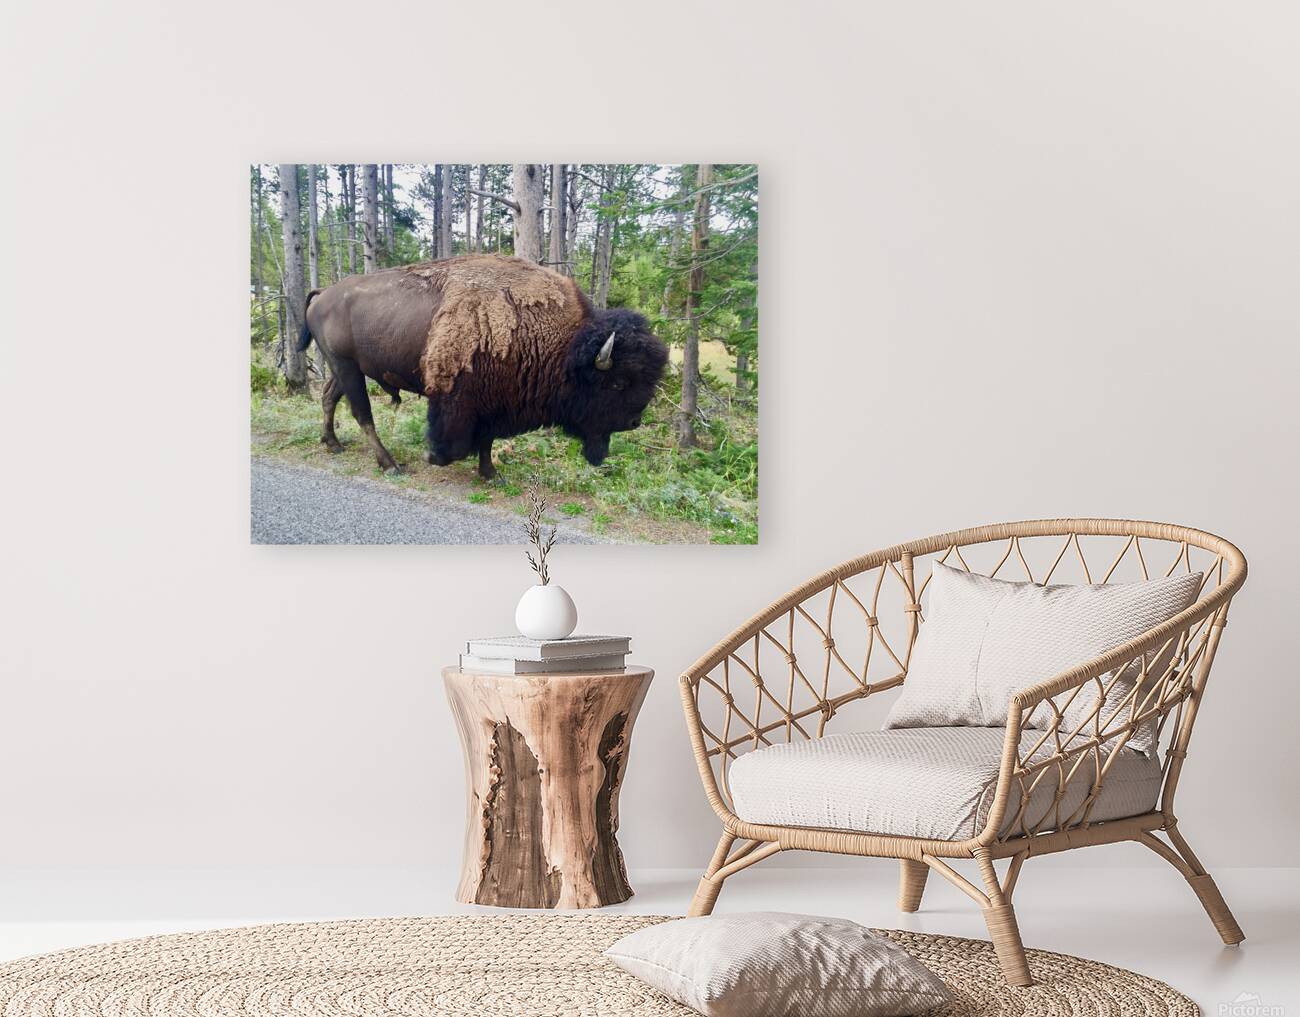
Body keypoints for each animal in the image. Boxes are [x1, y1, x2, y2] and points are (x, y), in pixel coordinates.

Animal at [299, 255, 668, 479]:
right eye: (618, 383)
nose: (634, 422)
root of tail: (323, 292)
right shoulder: (457, 398)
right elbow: (455, 442)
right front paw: (433, 457)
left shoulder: (494, 401)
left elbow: (487, 439)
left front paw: (491, 473)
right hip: (347, 367)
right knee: (362, 414)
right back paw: (389, 464)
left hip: (342, 367)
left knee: (329, 398)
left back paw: (332, 443)